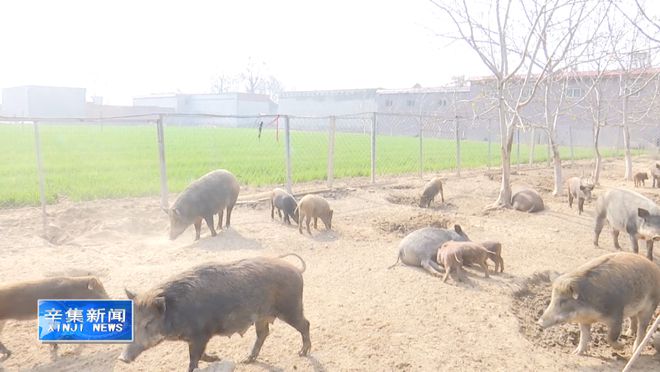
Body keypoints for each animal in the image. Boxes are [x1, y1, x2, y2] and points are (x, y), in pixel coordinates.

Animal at [119, 254, 312, 370]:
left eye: (148, 323)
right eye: (131, 319)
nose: (122, 358)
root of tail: (297, 270)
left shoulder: (201, 335)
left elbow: (194, 358)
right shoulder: (196, 338)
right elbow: (201, 355)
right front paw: (217, 358)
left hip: (291, 308)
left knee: (305, 324)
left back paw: (302, 353)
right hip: (262, 316)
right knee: (263, 333)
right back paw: (246, 360)